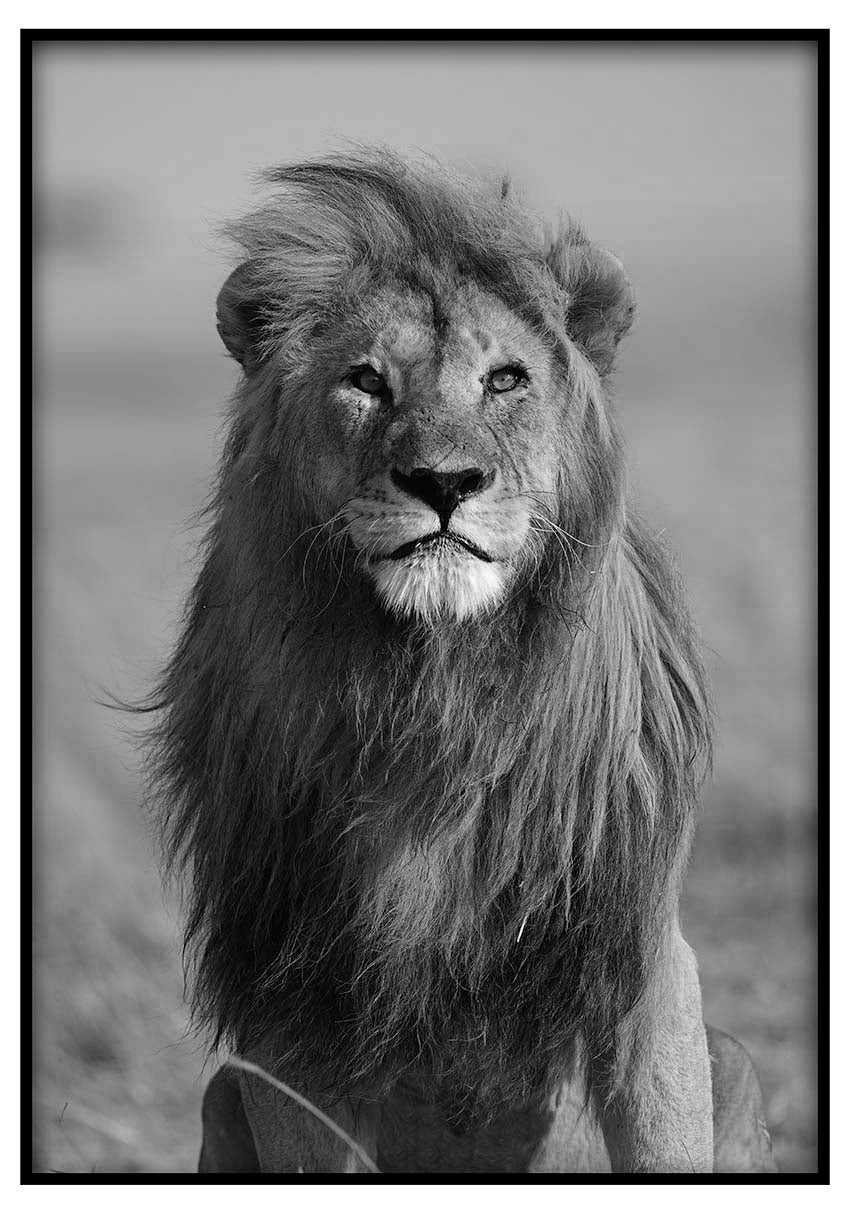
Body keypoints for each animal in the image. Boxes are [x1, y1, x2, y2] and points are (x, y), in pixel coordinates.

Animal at [149, 148, 777, 1173]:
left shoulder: (637, 953)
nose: (443, 482)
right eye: (366, 381)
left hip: (732, 1052)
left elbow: (663, 1143)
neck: (434, 692)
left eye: (506, 379)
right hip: (222, 1091)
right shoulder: (287, 997)